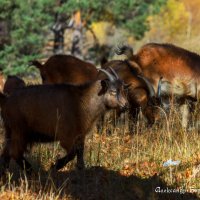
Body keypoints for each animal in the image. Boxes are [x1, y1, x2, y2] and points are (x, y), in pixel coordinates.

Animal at [0, 68, 128, 172]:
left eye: (123, 89)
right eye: (113, 91)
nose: (126, 105)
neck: (83, 100)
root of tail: (6, 100)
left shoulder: (80, 135)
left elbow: (80, 151)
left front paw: (81, 168)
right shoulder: (66, 137)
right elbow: (73, 152)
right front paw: (56, 166)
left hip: (10, 131)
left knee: (6, 152)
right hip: (20, 131)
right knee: (14, 152)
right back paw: (30, 170)